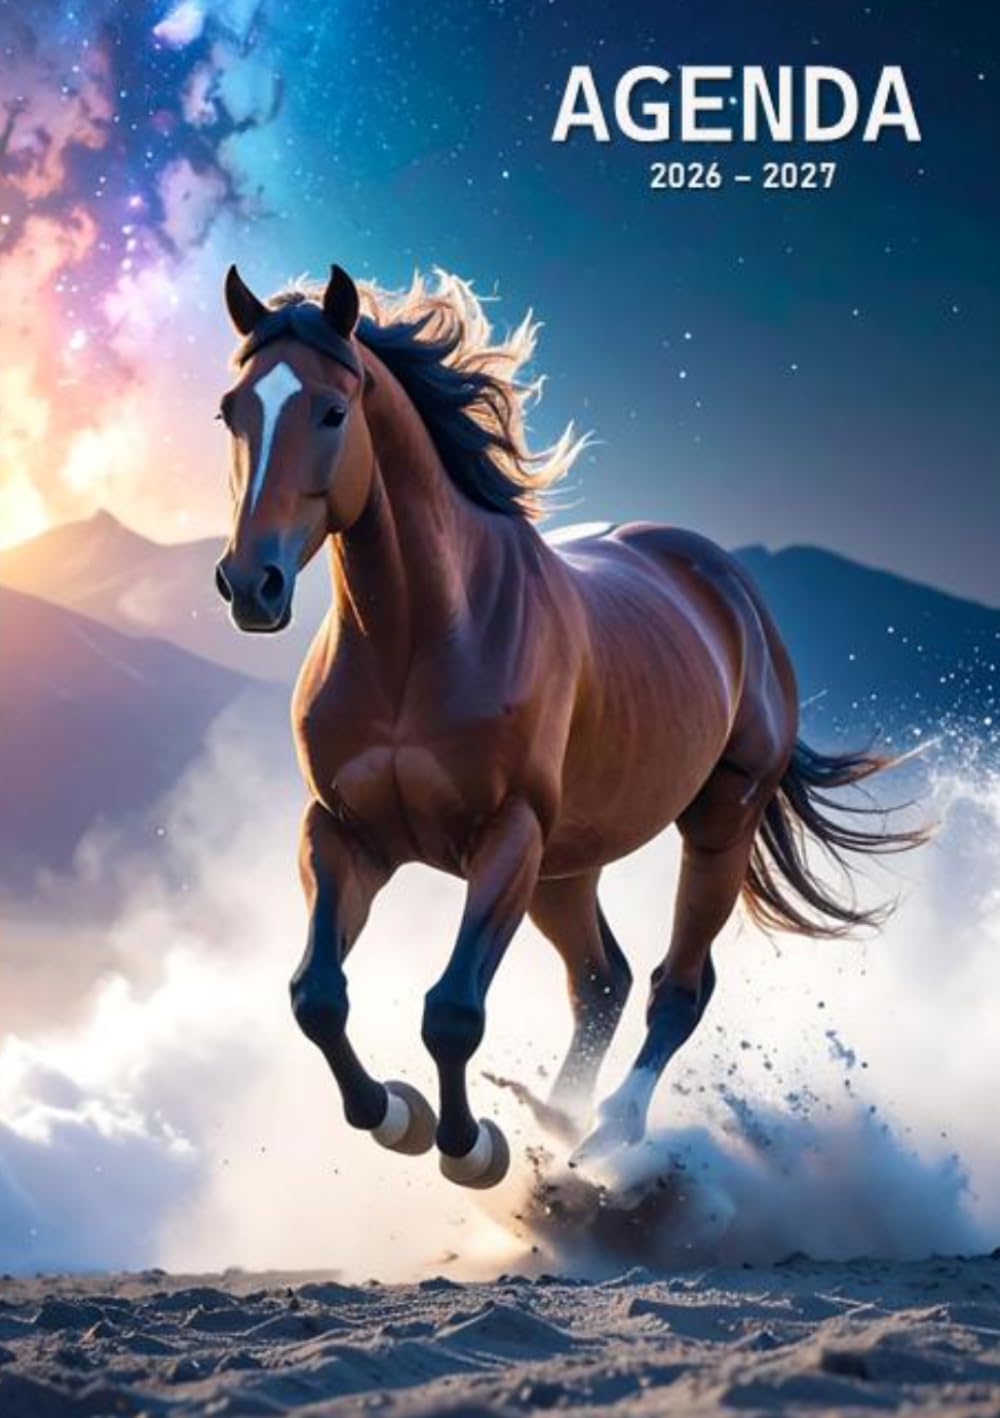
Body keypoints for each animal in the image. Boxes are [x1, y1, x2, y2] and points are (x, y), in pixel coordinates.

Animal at [214, 262, 923, 1189]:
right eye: (232, 409)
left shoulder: (506, 837)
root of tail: (730, 588)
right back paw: (557, 1119)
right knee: (602, 981)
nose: (249, 584)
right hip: (566, 866)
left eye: (332, 411)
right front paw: (397, 1114)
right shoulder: (343, 833)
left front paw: (472, 1148)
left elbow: (451, 1011)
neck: (420, 639)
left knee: (674, 987)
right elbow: (317, 997)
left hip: (715, 826)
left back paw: (606, 1135)